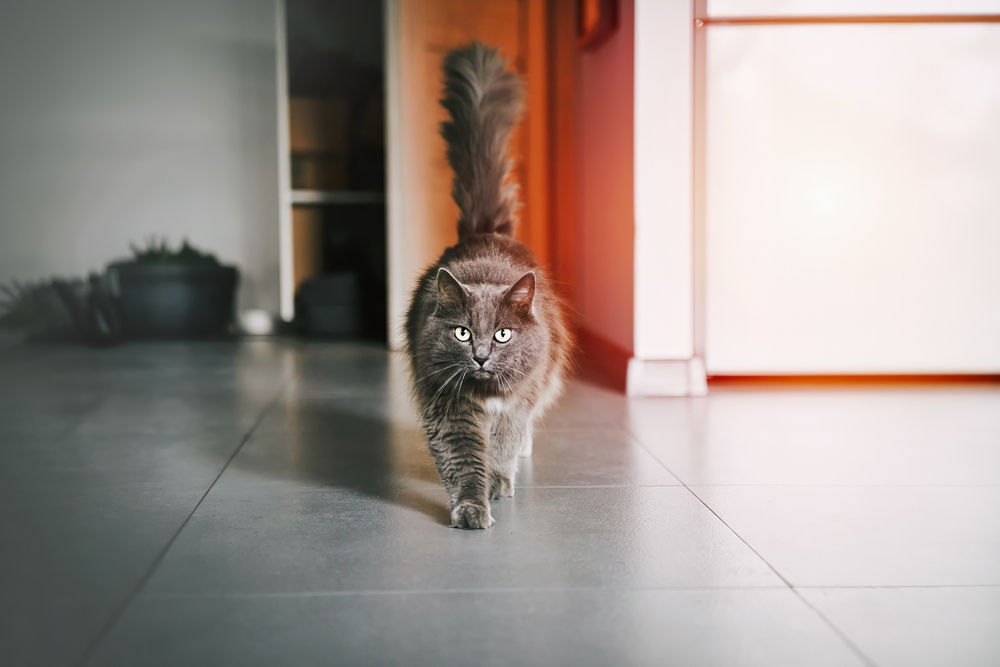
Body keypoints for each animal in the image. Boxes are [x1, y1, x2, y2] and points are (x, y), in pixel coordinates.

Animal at [404, 43, 572, 532]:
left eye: (502, 334)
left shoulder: (516, 404)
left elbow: (500, 446)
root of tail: (486, 231)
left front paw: (497, 484)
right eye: (462, 333)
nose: (480, 356)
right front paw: (471, 510)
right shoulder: (448, 406)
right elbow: (463, 460)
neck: (485, 397)